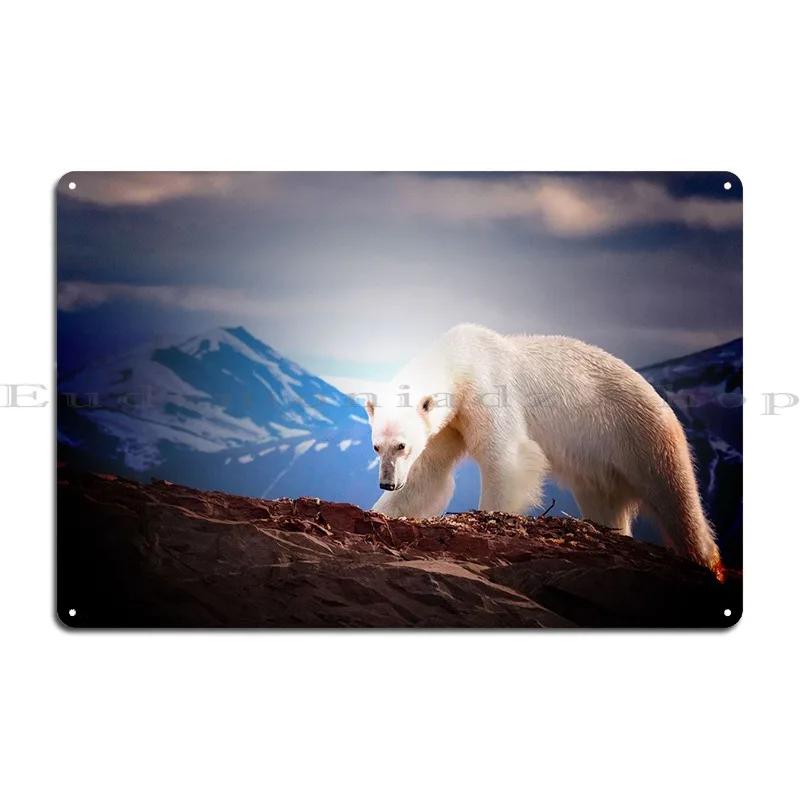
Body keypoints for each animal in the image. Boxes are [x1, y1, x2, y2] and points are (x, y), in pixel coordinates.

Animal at [365, 323, 721, 574]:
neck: (461, 360)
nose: (387, 482)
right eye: (377, 447)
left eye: (402, 445)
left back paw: (705, 559)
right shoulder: (449, 423)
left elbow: (507, 458)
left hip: (642, 435)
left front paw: (490, 516)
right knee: (605, 502)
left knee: (676, 499)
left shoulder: (489, 391)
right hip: (598, 467)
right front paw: (382, 512)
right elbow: (429, 476)